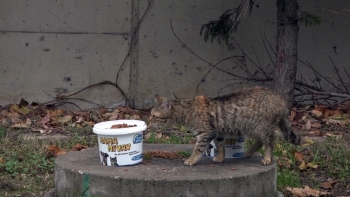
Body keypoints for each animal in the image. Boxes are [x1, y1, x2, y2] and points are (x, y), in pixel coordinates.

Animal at [149, 86, 302, 165]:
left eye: (154, 116)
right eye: (150, 115)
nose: (148, 121)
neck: (187, 111)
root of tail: (280, 98)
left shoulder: (205, 133)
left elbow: (198, 149)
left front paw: (191, 160)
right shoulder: (218, 133)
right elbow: (221, 146)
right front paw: (220, 157)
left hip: (262, 127)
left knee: (270, 143)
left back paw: (267, 158)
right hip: (252, 127)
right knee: (260, 142)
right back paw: (246, 153)